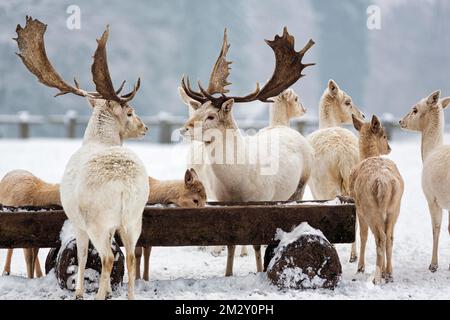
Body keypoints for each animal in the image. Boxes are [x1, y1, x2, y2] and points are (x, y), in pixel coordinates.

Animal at [178, 27, 314, 276]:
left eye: (210, 116)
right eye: (198, 109)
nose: (185, 128)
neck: (237, 181)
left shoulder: (261, 200)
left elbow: (256, 242)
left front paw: (260, 270)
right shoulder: (223, 201)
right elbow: (231, 241)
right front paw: (228, 272)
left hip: (300, 185)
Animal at [348, 114, 404, 284]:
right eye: (384, 135)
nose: (389, 148)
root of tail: (384, 183)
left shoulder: (358, 209)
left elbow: (363, 235)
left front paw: (360, 268)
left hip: (370, 208)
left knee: (380, 237)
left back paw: (377, 278)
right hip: (395, 208)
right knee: (389, 237)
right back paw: (389, 274)